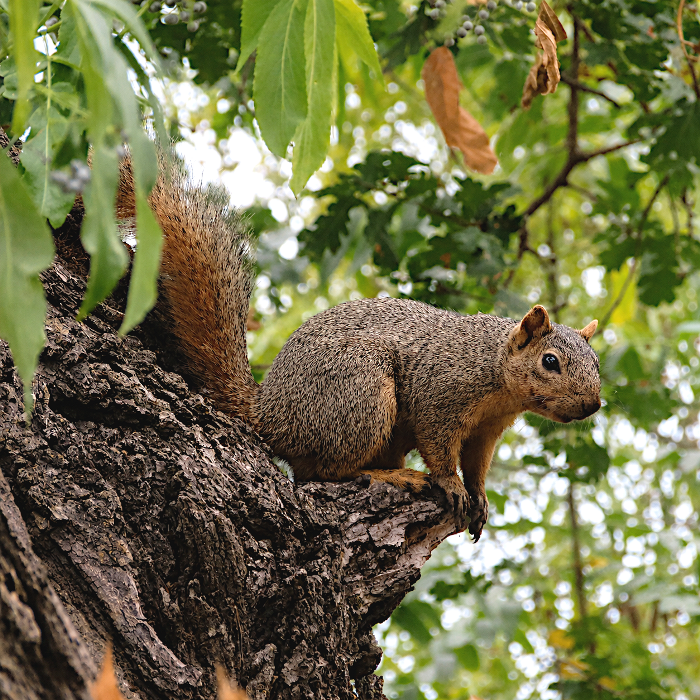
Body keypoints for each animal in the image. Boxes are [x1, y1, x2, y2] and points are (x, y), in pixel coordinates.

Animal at [115, 155, 601, 541]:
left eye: (595, 362)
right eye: (550, 361)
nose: (593, 405)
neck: (495, 374)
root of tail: (268, 414)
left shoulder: (487, 429)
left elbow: (478, 463)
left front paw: (479, 496)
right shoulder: (440, 394)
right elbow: (440, 447)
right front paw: (452, 485)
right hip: (360, 392)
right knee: (325, 473)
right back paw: (395, 475)